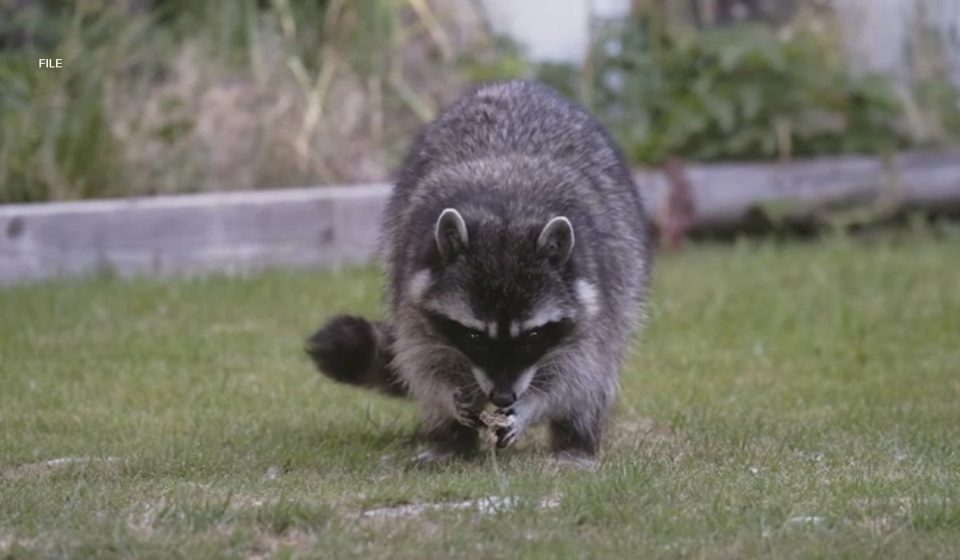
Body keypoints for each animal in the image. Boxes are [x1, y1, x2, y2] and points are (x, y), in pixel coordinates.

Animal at [307, 80, 650, 463]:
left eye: (533, 335)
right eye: (474, 335)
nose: (503, 398)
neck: (506, 213)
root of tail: (517, 84)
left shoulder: (595, 294)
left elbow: (576, 372)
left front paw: (534, 405)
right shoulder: (410, 281)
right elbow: (422, 360)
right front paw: (449, 399)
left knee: (595, 379)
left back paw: (575, 442)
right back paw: (448, 441)